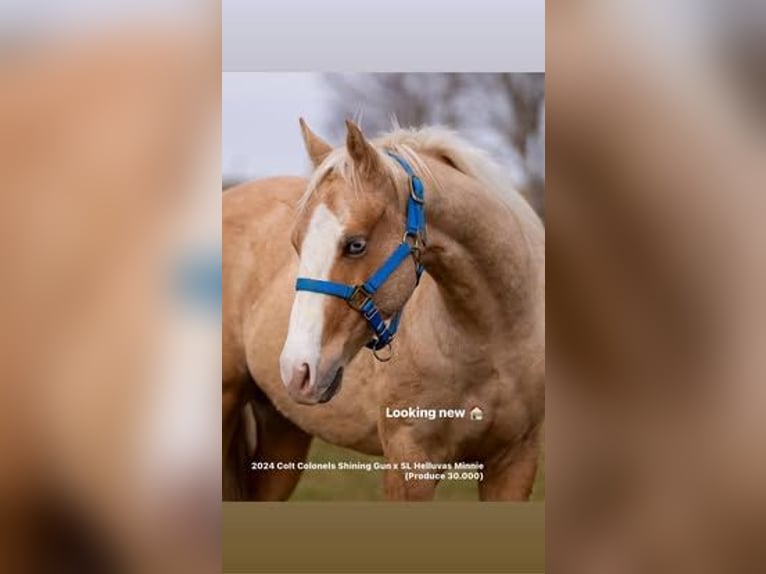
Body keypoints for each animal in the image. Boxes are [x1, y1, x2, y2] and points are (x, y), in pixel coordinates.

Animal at [222, 119, 545, 501]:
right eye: (296, 243)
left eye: (355, 245)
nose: (296, 370)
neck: (493, 336)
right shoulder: (409, 460)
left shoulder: (514, 461)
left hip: (283, 432)